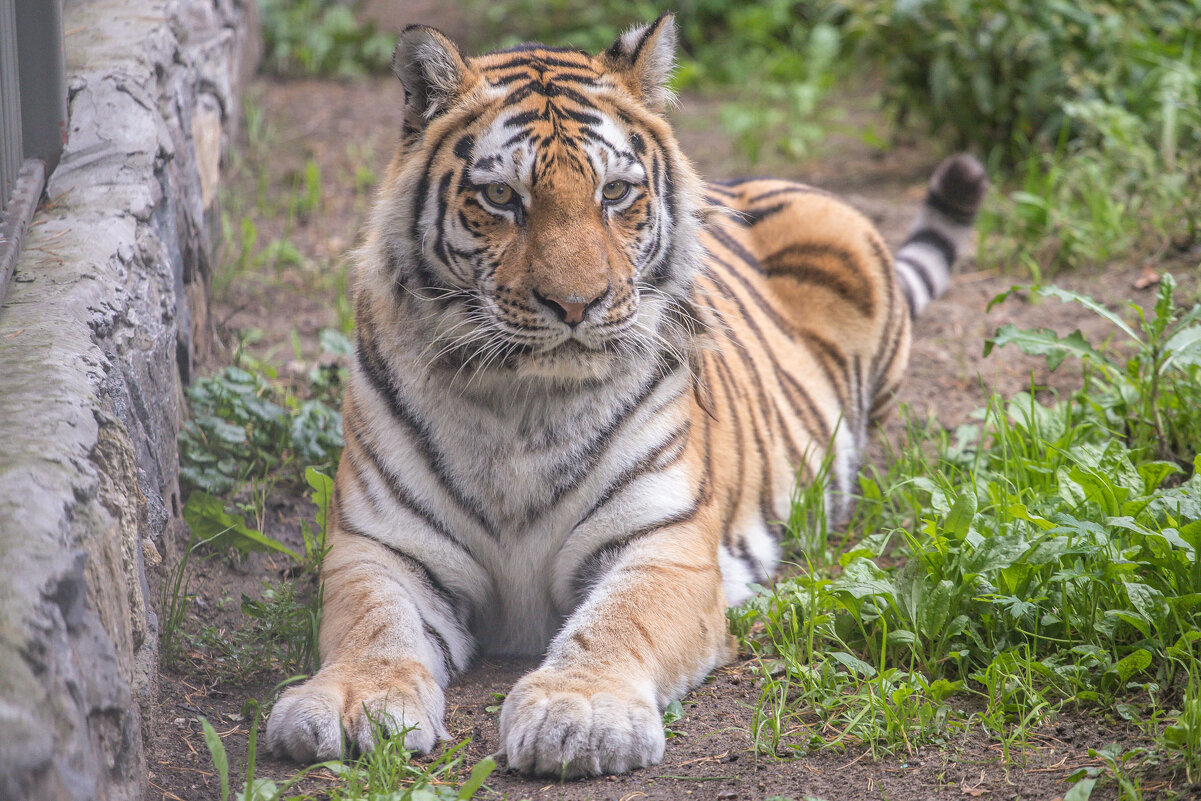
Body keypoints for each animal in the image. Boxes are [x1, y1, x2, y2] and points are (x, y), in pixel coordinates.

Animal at [263, 10, 984, 778]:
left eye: (614, 193)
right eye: (500, 197)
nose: (577, 305)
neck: (520, 402)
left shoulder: (662, 541)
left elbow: (617, 622)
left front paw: (578, 712)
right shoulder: (378, 546)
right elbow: (371, 625)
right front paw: (350, 701)